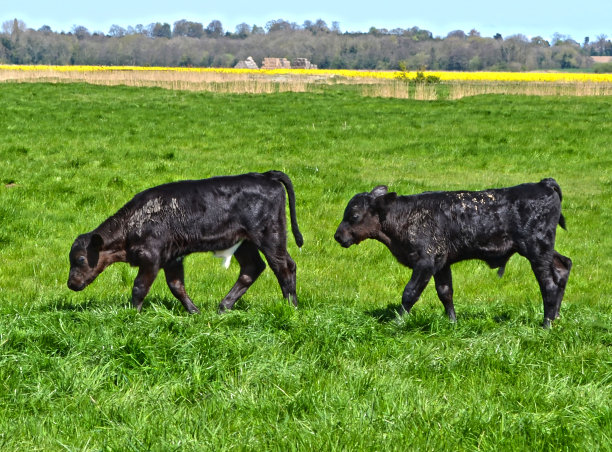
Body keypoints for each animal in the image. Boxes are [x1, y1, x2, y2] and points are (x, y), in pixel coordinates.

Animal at [68, 171, 302, 312]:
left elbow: (139, 287)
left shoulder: (151, 258)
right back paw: (223, 307)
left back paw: (291, 307)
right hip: (244, 242)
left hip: (270, 235)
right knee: (253, 268)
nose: (71, 284)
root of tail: (265, 175)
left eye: (80, 259)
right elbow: (176, 286)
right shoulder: (172, 258)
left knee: (283, 267)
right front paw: (194, 311)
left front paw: (133, 313)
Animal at [332, 177, 572, 328]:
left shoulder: (426, 261)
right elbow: (445, 293)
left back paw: (546, 324)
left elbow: (410, 293)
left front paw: (397, 322)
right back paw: (556, 317)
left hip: (537, 250)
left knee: (549, 285)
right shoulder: (442, 264)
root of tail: (543, 184)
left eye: (354, 215)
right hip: (543, 249)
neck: (406, 216)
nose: (338, 236)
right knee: (563, 266)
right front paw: (453, 323)